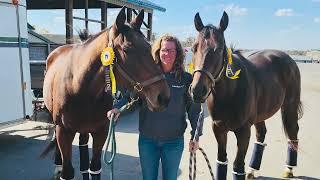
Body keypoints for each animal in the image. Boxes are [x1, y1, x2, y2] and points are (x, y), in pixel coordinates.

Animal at [41, 8, 171, 180]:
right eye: (127, 49)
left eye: (149, 48)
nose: (163, 97)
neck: (79, 88)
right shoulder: (64, 131)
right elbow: (67, 171)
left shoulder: (101, 131)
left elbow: (95, 167)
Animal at [189, 11, 304, 179]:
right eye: (194, 48)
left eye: (219, 49)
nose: (197, 90)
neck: (229, 94)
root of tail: (289, 58)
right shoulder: (219, 129)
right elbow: (221, 161)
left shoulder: (243, 132)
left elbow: (237, 165)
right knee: (261, 133)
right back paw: (252, 170)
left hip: (290, 106)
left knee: (293, 131)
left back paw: (289, 169)